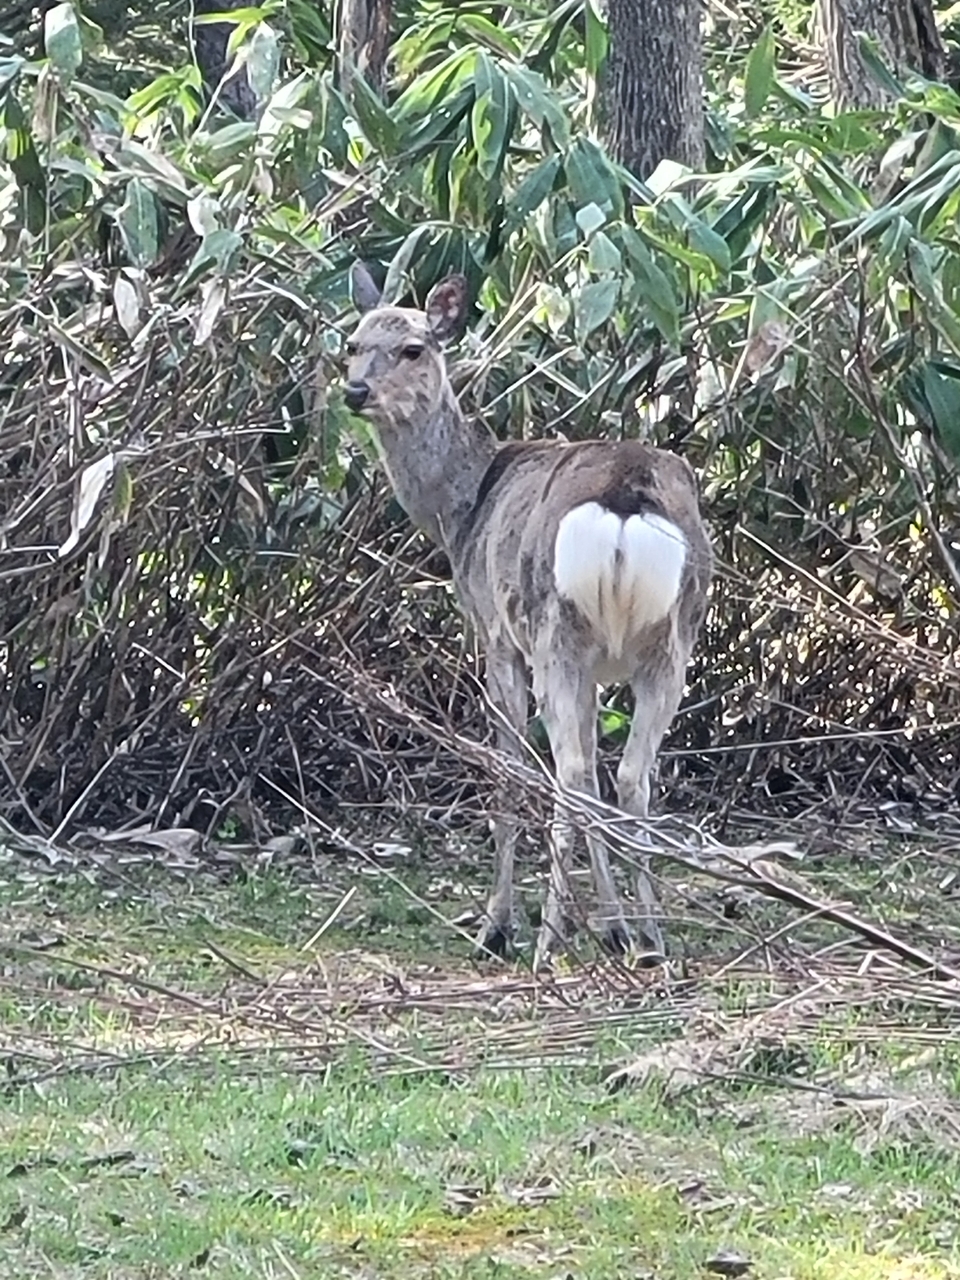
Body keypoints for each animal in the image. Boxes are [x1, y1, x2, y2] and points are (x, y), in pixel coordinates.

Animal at [345, 270, 716, 967]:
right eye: (350, 344)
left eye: (413, 348)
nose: (355, 390)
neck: (463, 509)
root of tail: (625, 497)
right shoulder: (599, 668)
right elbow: (598, 767)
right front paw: (614, 926)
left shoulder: (494, 633)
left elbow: (510, 773)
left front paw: (497, 926)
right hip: (671, 639)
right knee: (629, 775)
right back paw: (650, 939)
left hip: (552, 630)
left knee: (566, 773)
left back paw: (545, 939)